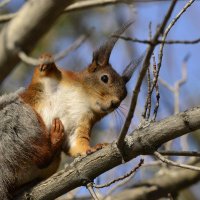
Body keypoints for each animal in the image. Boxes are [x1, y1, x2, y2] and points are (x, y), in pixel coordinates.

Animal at [0, 19, 139, 198]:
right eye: (104, 78)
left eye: (125, 94)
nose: (115, 103)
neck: (83, 98)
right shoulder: (50, 81)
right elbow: (41, 74)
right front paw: (46, 61)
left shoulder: (83, 122)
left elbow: (76, 143)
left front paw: (92, 148)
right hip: (19, 120)